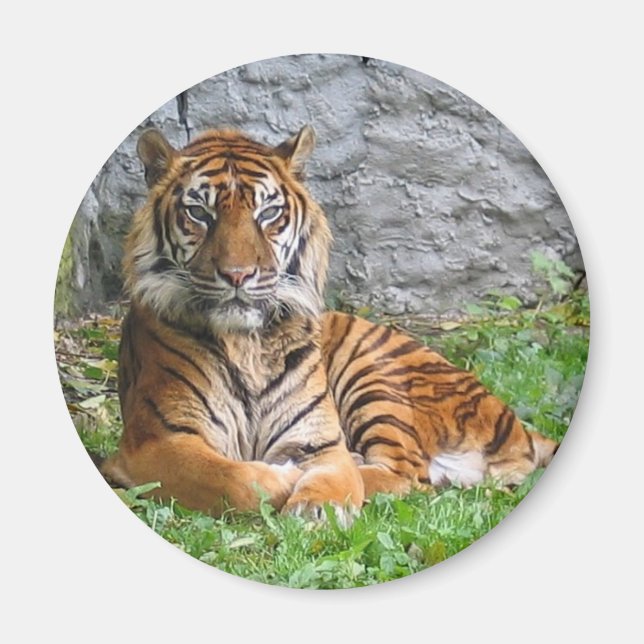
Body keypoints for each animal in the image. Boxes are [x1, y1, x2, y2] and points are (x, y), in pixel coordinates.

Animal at [101, 124, 558, 525]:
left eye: (268, 213)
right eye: (199, 213)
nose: (238, 275)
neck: (246, 343)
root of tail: (517, 425)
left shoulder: (320, 440)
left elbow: (335, 476)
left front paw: (317, 506)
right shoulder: (156, 441)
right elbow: (233, 477)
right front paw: (284, 478)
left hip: (372, 374)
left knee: (408, 473)